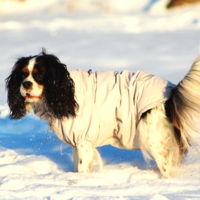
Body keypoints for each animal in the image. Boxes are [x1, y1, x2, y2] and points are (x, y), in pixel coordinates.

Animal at [5, 49, 200, 177]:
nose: (26, 84)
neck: (65, 92)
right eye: (22, 75)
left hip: (151, 137)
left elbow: (82, 169)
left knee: (166, 167)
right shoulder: (77, 142)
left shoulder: (83, 141)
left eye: (39, 75)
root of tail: (170, 91)